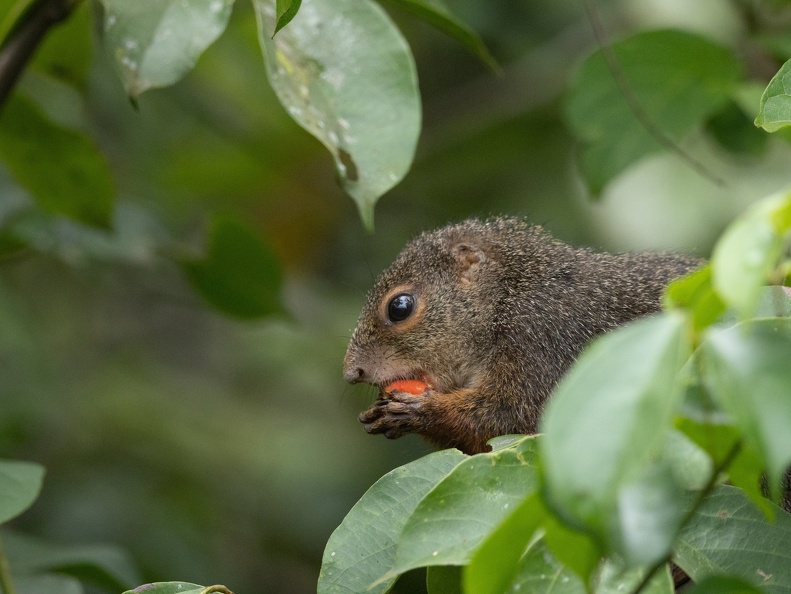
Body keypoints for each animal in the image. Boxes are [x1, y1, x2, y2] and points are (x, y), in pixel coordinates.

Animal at [343, 217, 702, 455]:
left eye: (399, 307)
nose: (351, 372)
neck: (508, 297)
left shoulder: (545, 334)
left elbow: (516, 416)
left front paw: (420, 412)